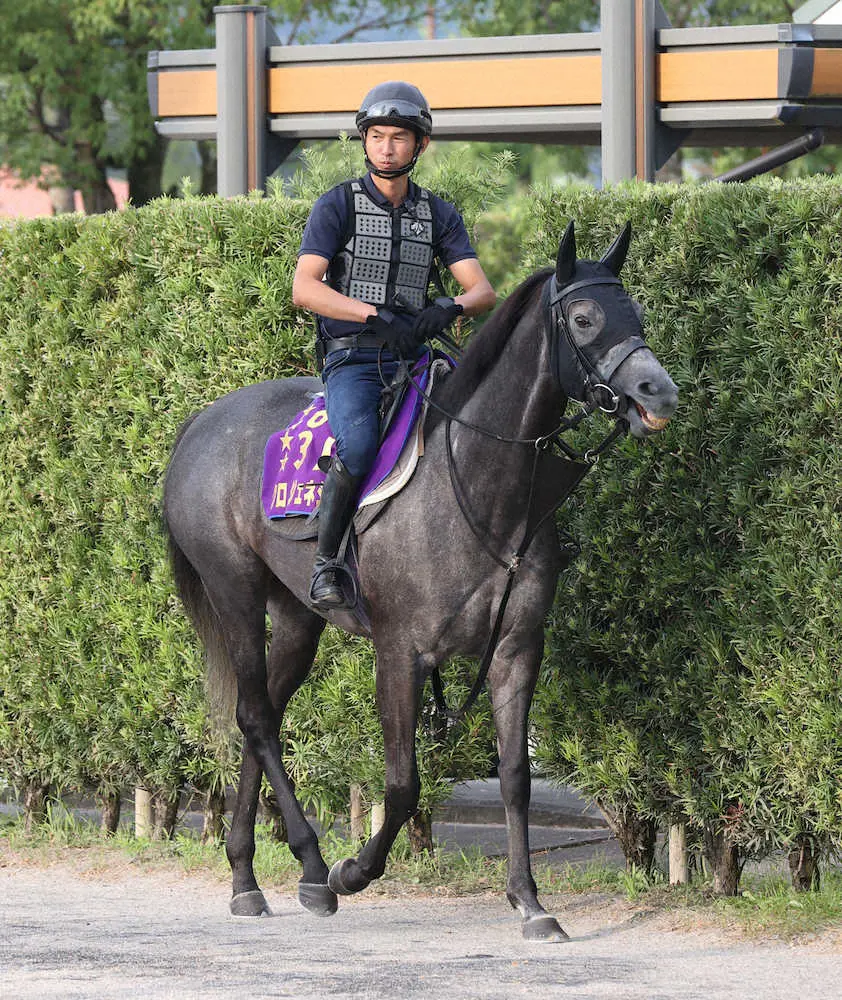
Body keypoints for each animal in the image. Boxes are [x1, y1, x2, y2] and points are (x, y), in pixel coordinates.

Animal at [162, 221, 678, 942]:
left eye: (636, 312)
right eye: (583, 317)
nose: (658, 392)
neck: (481, 484)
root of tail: (201, 424)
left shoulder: (517, 649)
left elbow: (515, 776)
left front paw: (530, 901)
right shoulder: (399, 652)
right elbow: (403, 785)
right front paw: (354, 871)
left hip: (296, 617)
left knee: (259, 714)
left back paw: (246, 877)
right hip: (233, 591)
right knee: (259, 717)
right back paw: (313, 866)